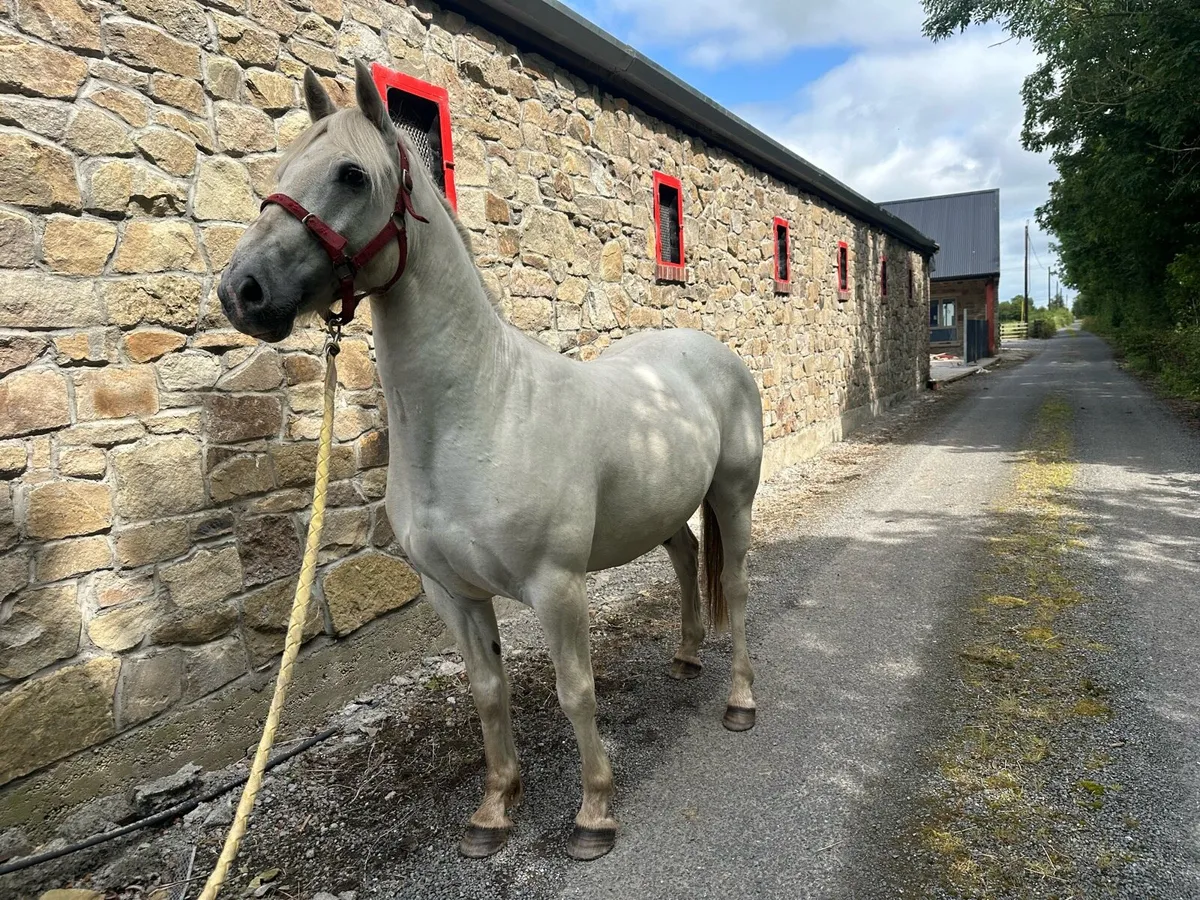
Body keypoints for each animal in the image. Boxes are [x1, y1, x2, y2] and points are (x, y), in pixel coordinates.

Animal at [217, 60, 763, 862]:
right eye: (280, 169)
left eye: (351, 175)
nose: (241, 291)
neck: (483, 409)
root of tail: (710, 351)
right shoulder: (453, 593)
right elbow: (487, 691)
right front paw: (494, 808)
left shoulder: (556, 588)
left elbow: (575, 691)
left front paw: (594, 813)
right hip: (662, 507)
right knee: (687, 558)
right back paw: (688, 657)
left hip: (733, 497)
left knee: (737, 587)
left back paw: (740, 700)